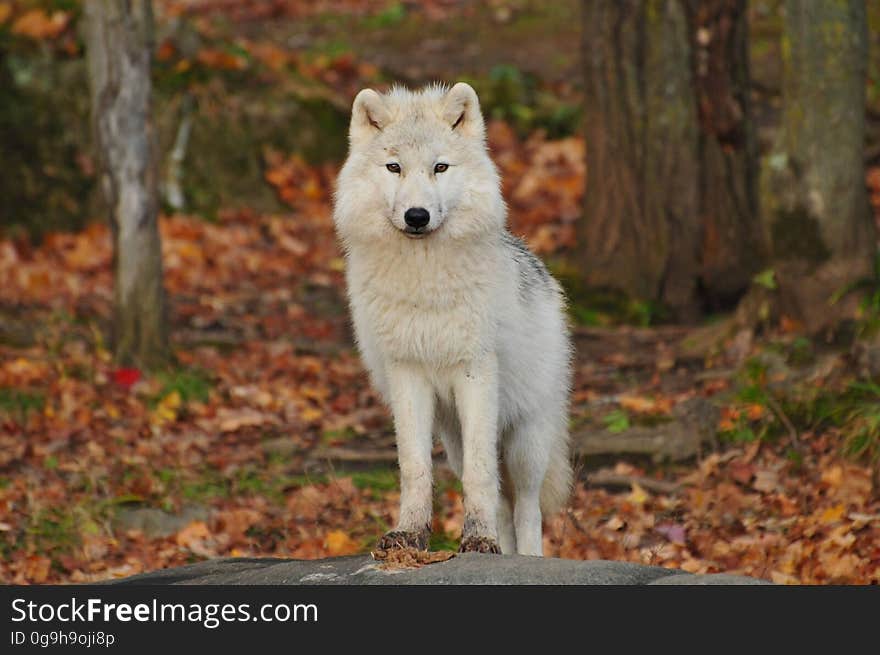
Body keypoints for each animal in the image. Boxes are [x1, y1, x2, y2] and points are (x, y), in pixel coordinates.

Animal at [334, 80, 576, 552]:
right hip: (453, 437)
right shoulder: (407, 372)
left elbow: (481, 477)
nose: (417, 216)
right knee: (501, 502)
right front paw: (410, 534)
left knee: (527, 507)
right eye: (394, 167)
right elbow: (415, 468)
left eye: (440, 167)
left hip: (525, 440)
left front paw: (477, 537)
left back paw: (525, 555)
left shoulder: (475, 371)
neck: (424, 283)